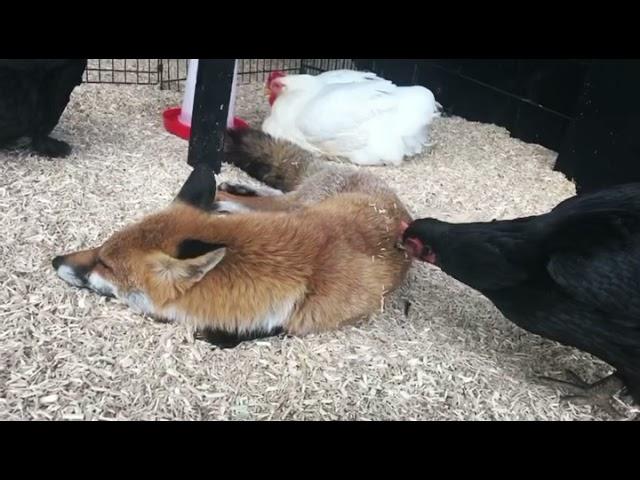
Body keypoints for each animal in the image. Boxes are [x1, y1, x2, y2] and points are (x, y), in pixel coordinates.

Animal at [52, 127, 412, 346]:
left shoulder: (298, 323)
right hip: (296, 203)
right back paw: (230, 191)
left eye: (105, 264)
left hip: (296, 203)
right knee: (266, 195)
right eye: (100, 248)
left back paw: (227, 195)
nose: (55, 260)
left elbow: (254, 333)